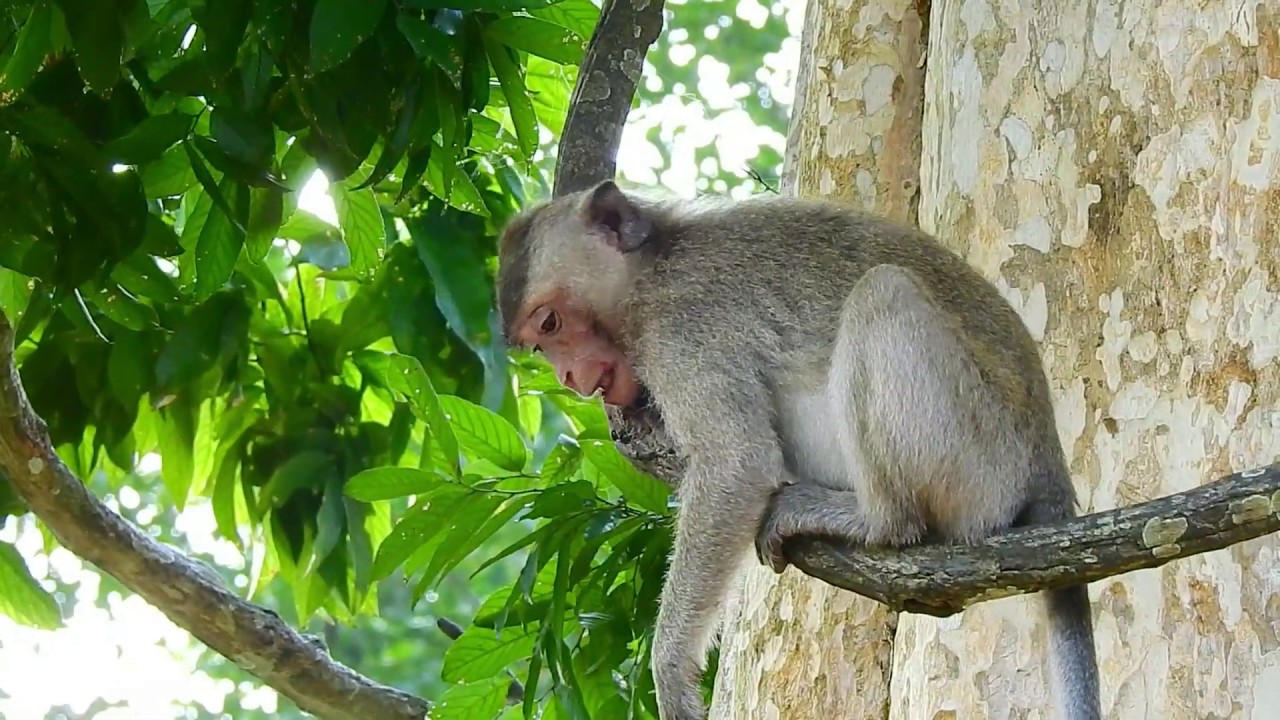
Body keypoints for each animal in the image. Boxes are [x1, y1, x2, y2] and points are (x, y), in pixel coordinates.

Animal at [495, 179, 1101, 720]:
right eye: (540, 344)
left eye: (551, 321)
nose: (567, 375)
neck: (647, 272)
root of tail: (1048, 463)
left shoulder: (681, 333)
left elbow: (736, 463)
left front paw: (670, 668)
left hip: (982, 463)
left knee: (883, 293)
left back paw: (878, 519)